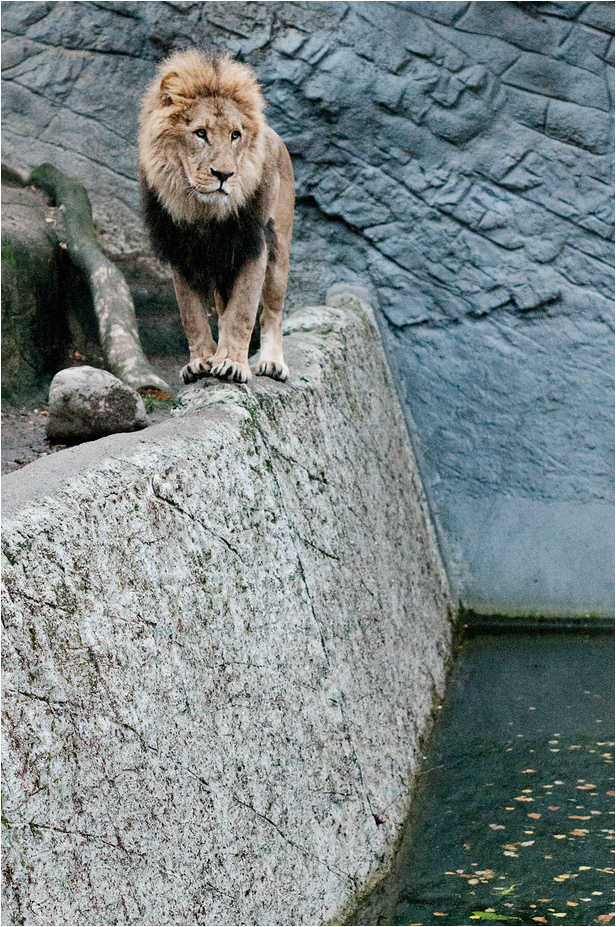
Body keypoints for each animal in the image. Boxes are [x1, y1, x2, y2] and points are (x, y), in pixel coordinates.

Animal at [138, 49, 294, 384]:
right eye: (201, 133)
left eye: (235, 135)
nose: (224, 175)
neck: (204, 212)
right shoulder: (181, 252)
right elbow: (192, 315)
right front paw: (201, 361)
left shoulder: (253, 246)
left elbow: (243, 312)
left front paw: (233, 364)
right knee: (222, 310)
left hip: (279, 251)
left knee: (272, 312)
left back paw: (271, 362)